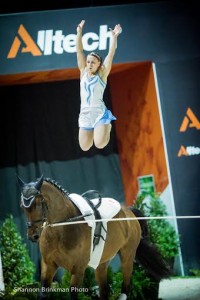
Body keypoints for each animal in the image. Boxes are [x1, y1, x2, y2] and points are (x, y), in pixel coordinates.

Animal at [17, 175, 170, 300]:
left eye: (38, 203)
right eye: (22, 206)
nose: (33, 236)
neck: (62, 228)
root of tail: (129, 212)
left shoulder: (78, 269)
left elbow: (73, 294)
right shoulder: (48, 265)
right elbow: (43, 293)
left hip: (127, 255)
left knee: (126, 288)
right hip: (102, 262)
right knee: (105, 290)